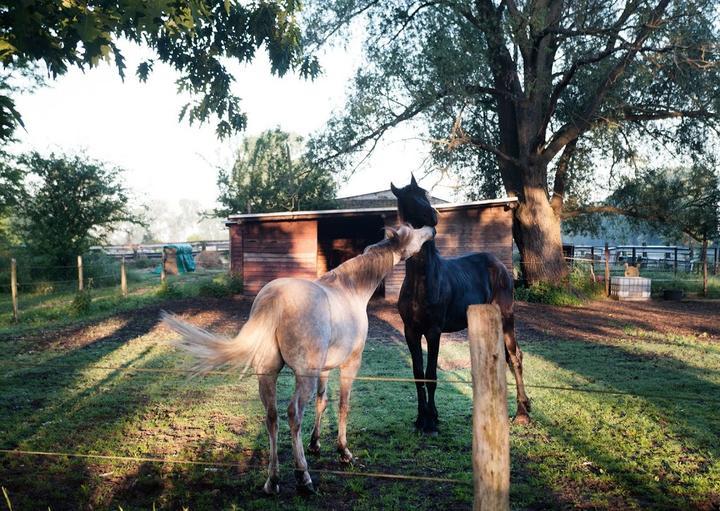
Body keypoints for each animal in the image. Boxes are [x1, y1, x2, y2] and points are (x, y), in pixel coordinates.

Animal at [163, 225, 434, 496]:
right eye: (413, 232)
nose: (430, 230)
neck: (350, 289)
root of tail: (274, 298)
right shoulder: (350, 364)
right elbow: (343, 405)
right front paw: (343, 452)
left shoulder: (324, 369)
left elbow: (321, 402)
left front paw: (315, 444)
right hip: (303, 376)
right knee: (293, 413)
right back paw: (303, 477)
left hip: (269, 374)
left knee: (272, 416)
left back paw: (273, 480)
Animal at [394, 175, 528, 432]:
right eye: (408, 199)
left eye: (424, 194)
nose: (433, 217)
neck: (421, 280)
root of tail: (501, 267)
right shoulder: (411, 331)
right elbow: (418, 374)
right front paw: (421, 419)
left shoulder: (433, 331)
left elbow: (431, 374)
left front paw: (432, 422)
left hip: (507, 318)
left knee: (515, 357)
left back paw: (522, 414)